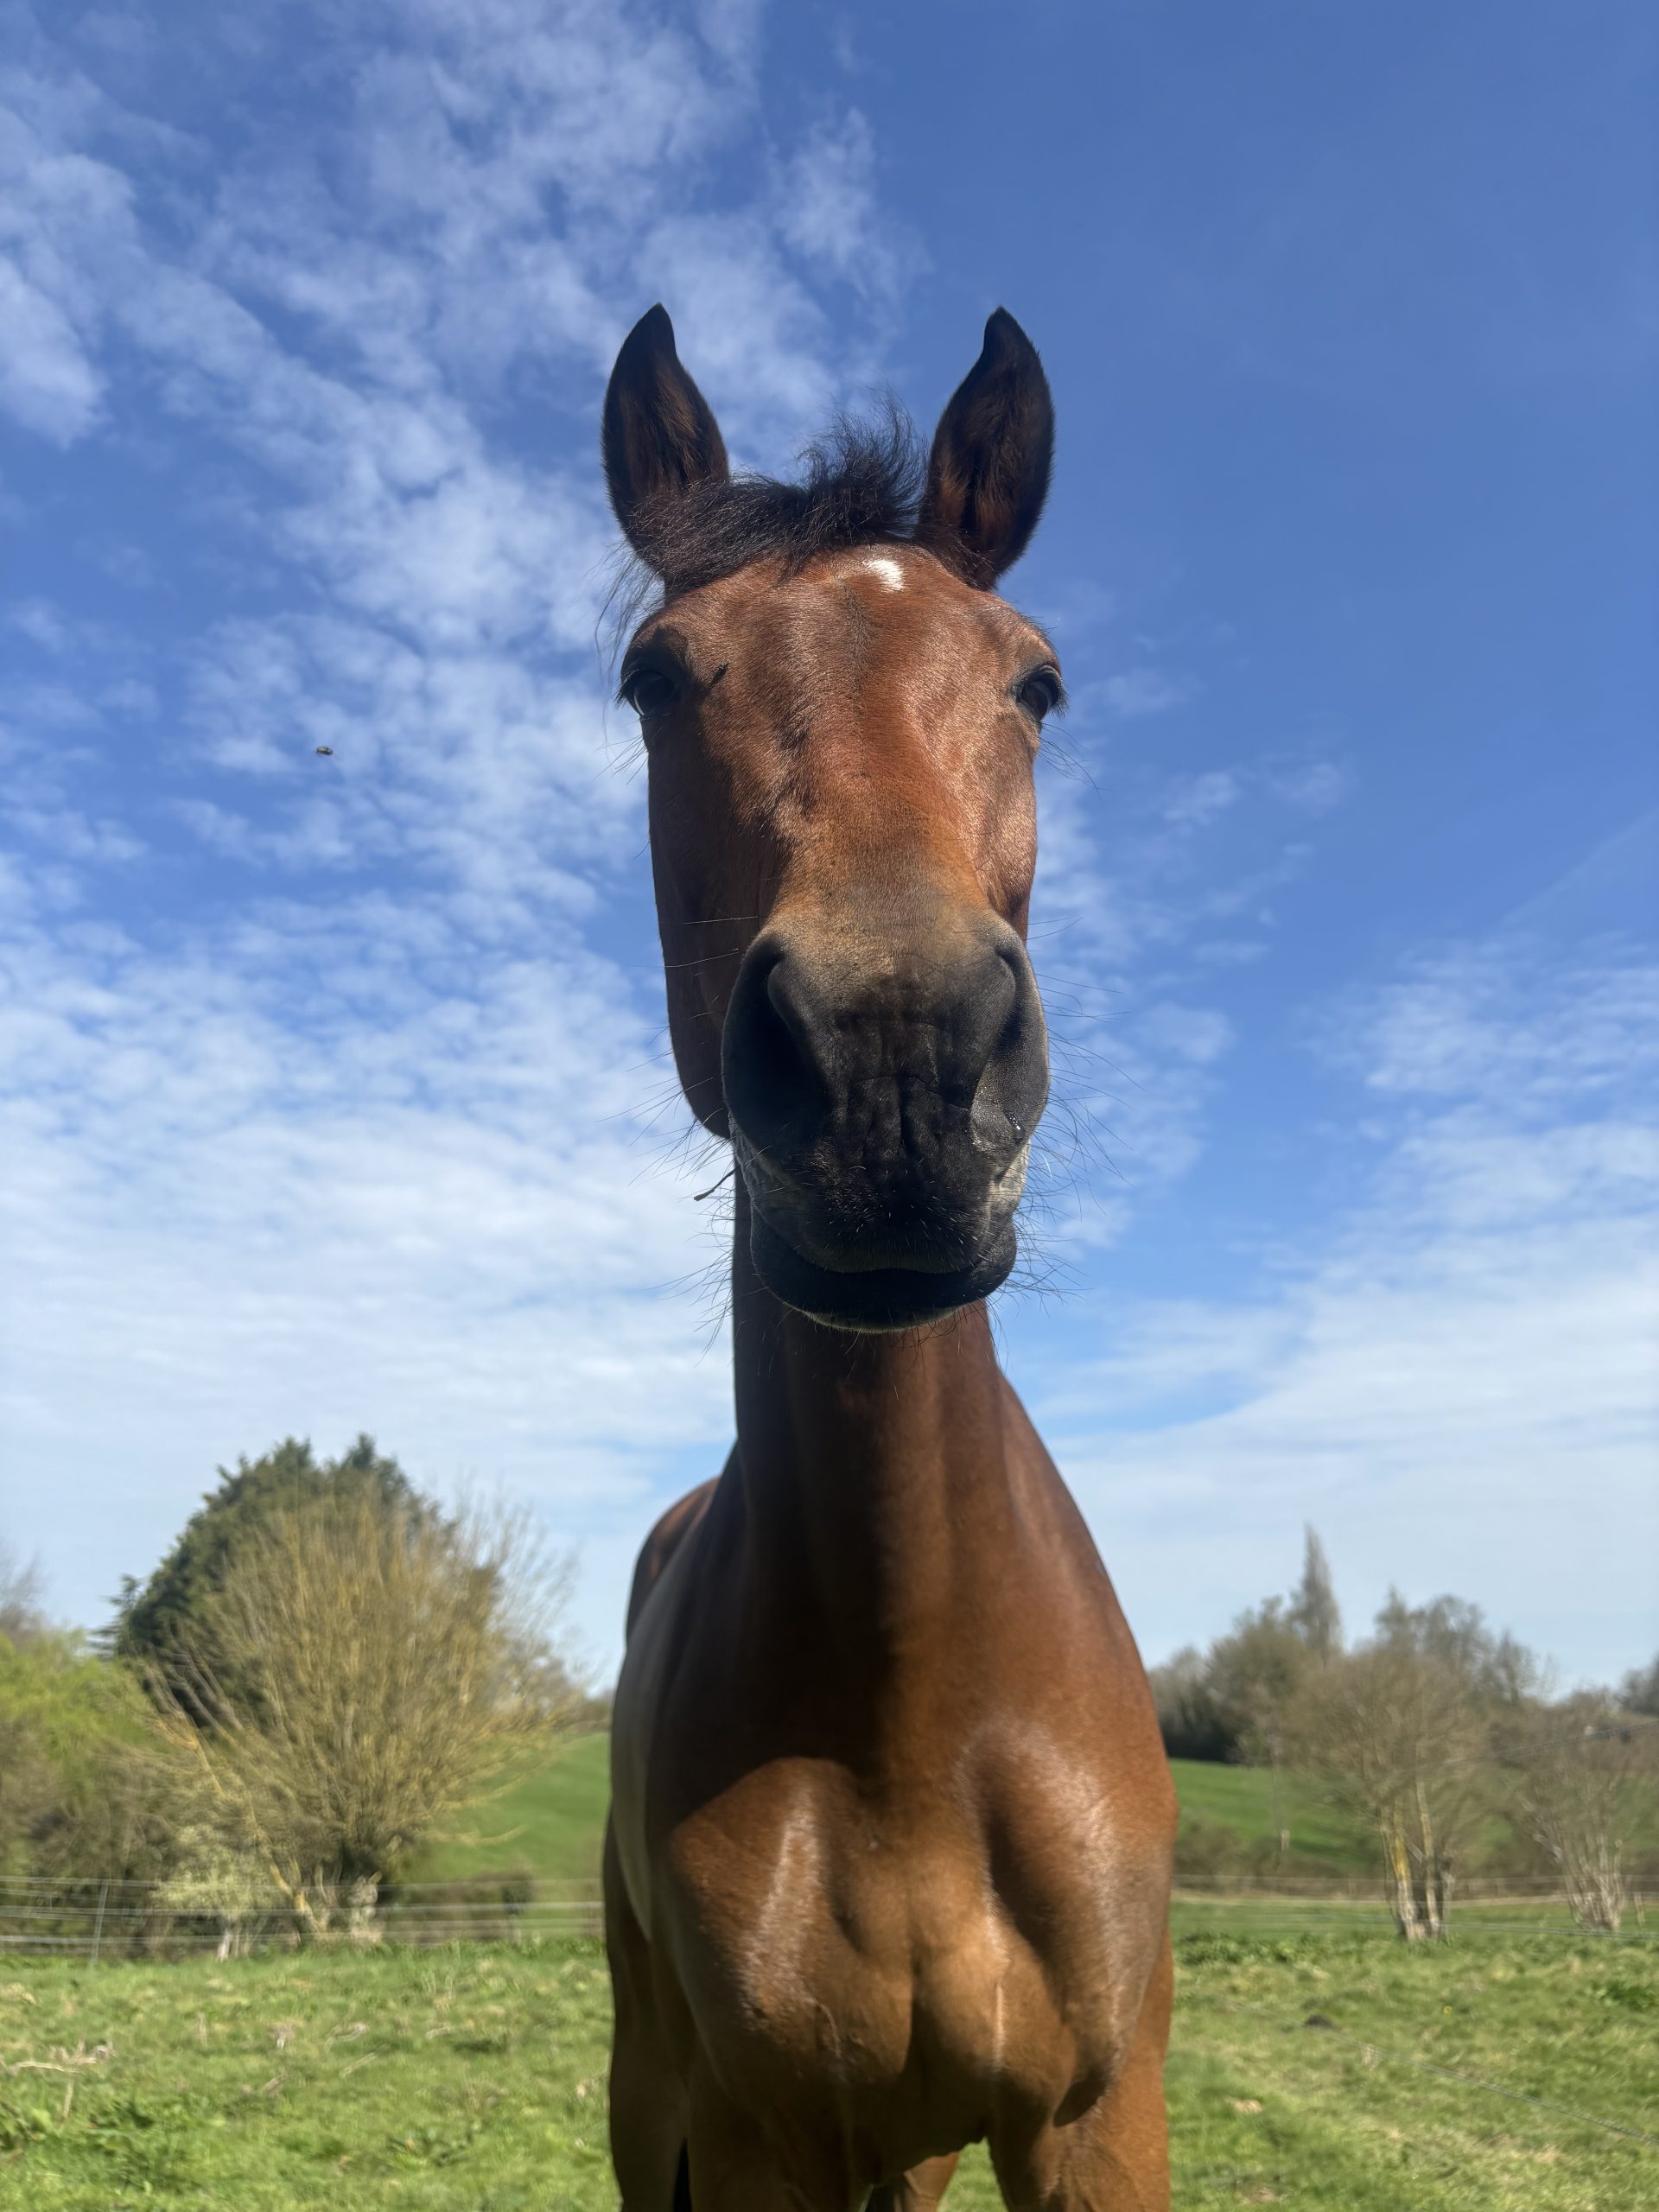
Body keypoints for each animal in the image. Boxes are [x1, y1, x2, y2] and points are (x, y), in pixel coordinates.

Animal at [601, 304, 1176, 2211]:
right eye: (655, 680)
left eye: (1035, 682)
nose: (892, 1065)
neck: (915, 1703)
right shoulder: (762, 2133)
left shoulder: (1092, 2120)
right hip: (657, 2093)